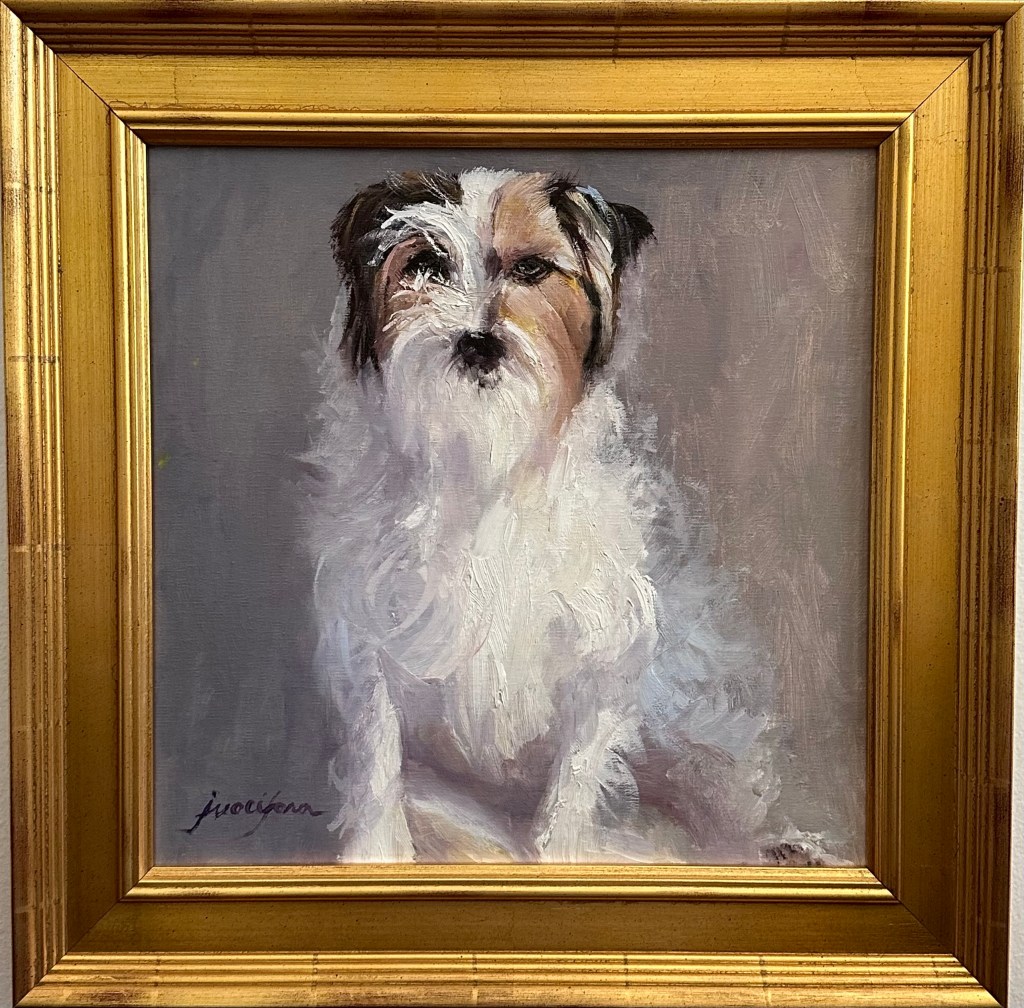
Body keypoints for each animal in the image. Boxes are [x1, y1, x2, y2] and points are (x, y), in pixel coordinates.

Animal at [305, 168, 830, 864]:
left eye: (531, 269)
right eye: (425, 265)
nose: (479, 343)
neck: (484, 459)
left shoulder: (605, 647)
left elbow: (578, 767)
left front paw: (559, 855)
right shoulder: (366, 637)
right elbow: (376, 754)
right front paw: (373, 854)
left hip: (697, 736)